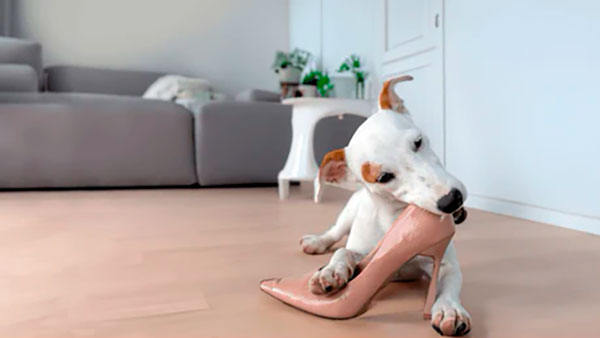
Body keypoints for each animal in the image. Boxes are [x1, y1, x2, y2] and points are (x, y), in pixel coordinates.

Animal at [302, 76, 472, 336]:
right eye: (383, 177)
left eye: (418, 142)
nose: (452, 200)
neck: (396, 221)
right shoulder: (363, 253)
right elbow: (344, 252)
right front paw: (331, 271)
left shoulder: (444, 261)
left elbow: (450, 283)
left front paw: (449, 308)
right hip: (347, 214)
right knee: (334, 232)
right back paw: (317, 242)